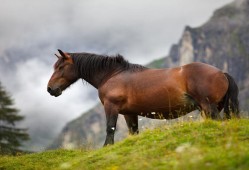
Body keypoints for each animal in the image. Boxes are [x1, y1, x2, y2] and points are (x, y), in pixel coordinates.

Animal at [47, 49, 239, 146]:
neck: (112, 75)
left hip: (209, 108)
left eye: (61, 67)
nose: (50, 89)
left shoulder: (111, 107)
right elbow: (133, 132)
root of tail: (221, 72)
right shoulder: (129, 113)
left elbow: (110, 129)